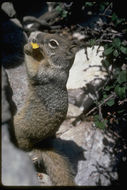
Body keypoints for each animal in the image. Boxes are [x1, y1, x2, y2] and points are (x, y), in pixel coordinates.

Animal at [13, 32, 77, 186]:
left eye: (53, 43)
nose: (37, 34)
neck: (58, 66)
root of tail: (41, 146)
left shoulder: (45, 72)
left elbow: (33, 70)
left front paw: (27, 47)